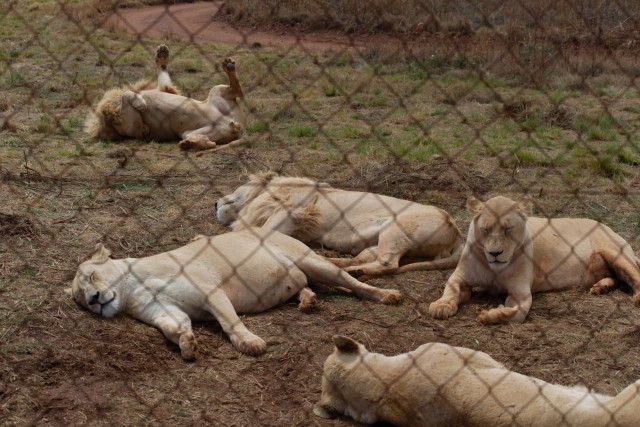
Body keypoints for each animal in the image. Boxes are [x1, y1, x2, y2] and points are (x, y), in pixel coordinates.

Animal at [69, 229, 400, 360]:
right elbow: (173, 326)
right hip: (301, 273)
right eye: (80, 299)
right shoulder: (163, 309)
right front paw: (187, 344)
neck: (132, 289)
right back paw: (308, 301)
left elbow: (229, 321)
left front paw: (250, 343)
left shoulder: (209, 290)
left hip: (312, 261)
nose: (94, 300)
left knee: (352, 283)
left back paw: (387, 295)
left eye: (91, 277)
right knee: (304, 284)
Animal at [84, 44, 244, 151]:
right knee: (208, 142)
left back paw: (228, 65)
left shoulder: (166, 89)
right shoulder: (132, 128)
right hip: (191, 131)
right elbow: (127, 96)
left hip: (216, 92)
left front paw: (161, 55)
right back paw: (190, 144)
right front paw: (140, 103)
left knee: (237, 89)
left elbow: (159, 77)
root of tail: (235, 125)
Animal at [428, 195, 640, 324]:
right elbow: (451, 289)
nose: (495, 253)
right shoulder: (460, 276)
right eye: (485, 229)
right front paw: (441, 306)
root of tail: (610, 229)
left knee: (634, 276)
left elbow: (518, 313)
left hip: (616, 253)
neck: (494, 270)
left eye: (508, 229)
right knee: (616, 277)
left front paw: (492, 314)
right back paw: (600, 287)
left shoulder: (521, 291)